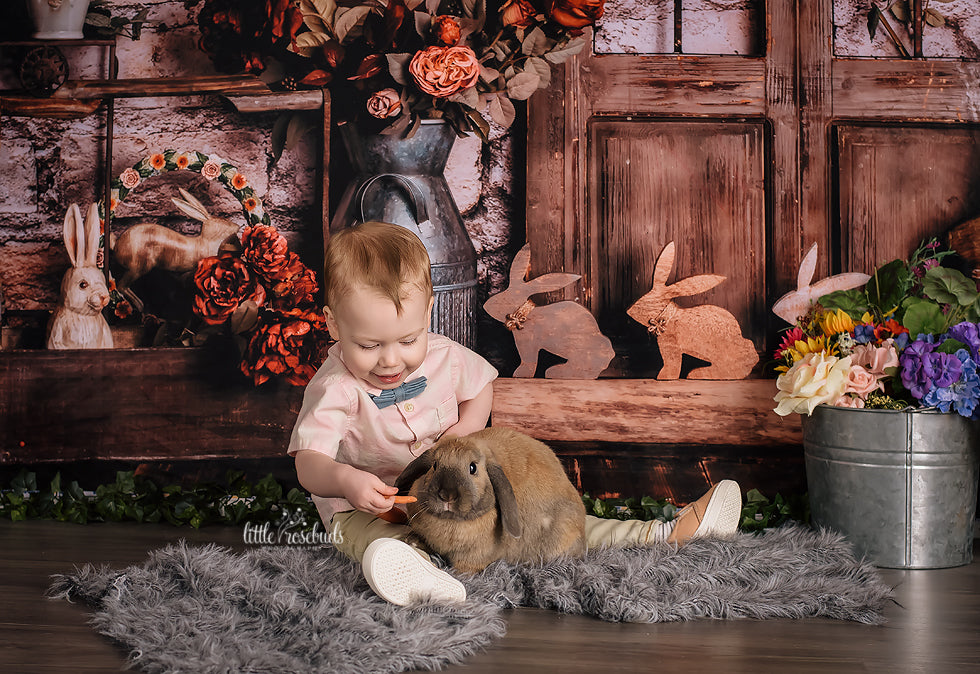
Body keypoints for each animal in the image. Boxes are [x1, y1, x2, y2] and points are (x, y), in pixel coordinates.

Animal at [394, 426, 584, 572]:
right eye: (434, 465)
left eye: (472, 468)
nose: (447, 495)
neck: (453, 522)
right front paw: (412, 541)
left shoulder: (472, 559)